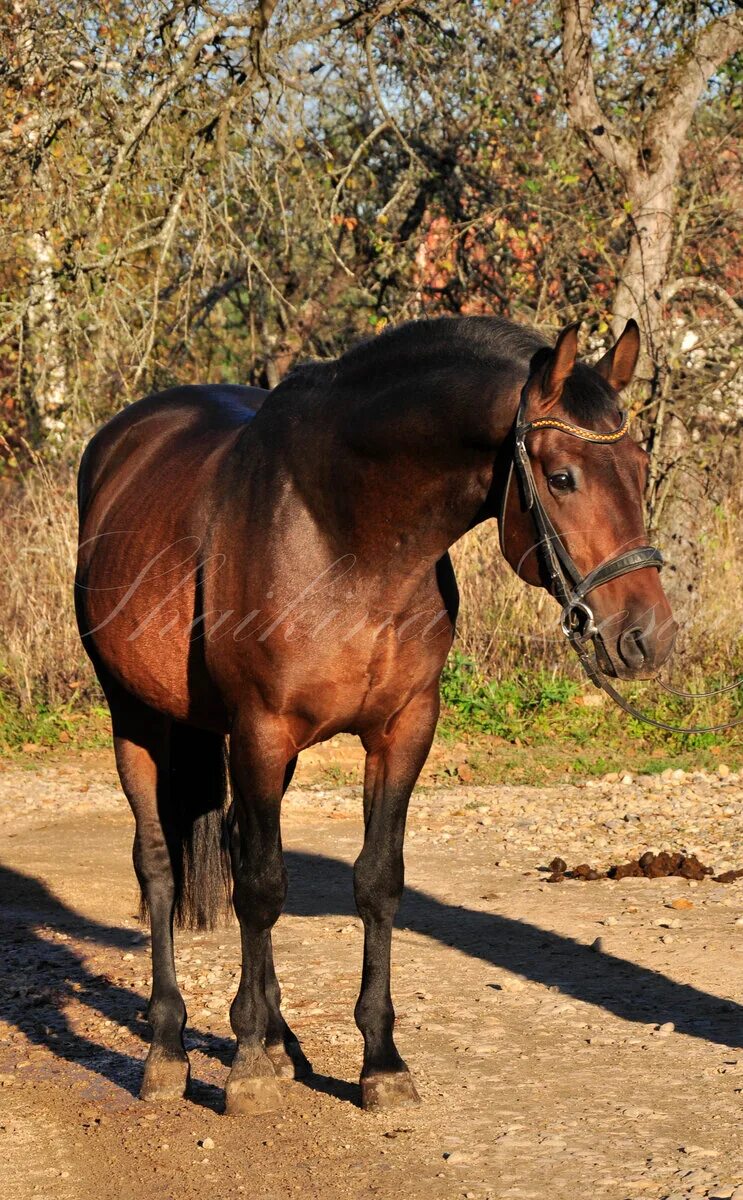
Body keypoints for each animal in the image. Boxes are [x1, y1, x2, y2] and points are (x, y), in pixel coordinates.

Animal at [76, 314, 681, 1108]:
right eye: (561, 477)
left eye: (640, 467)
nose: (647, 636)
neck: (344, 535)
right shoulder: (261, 728)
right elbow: (263, 886)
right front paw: (247, 1065)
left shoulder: (402, 730)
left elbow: (377, 881)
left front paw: (379, 1062)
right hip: (137, 716)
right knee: (159, 867)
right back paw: (170, 1049)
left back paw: (282, 1040)